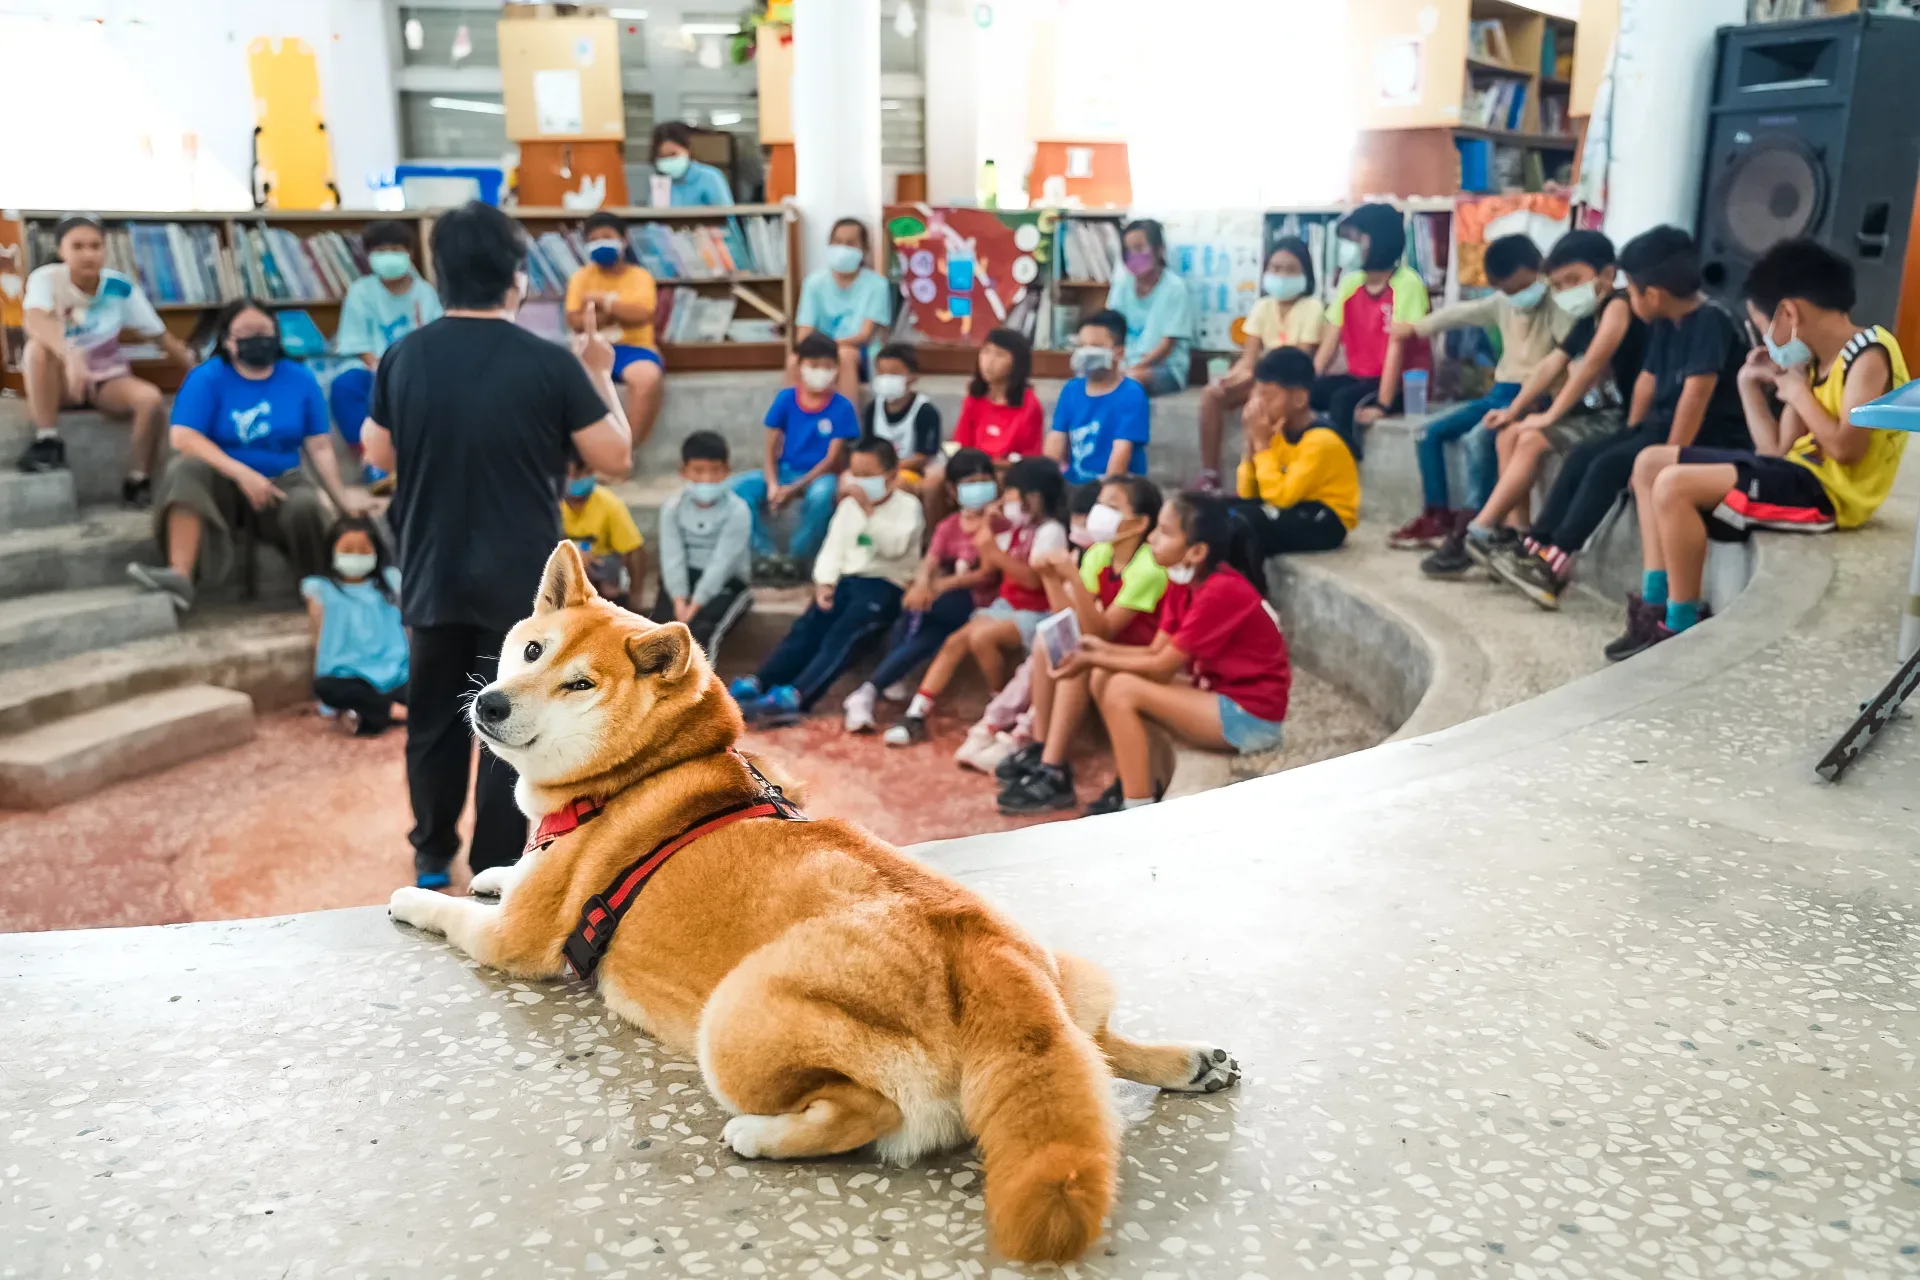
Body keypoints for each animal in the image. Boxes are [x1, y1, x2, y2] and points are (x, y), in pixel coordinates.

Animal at [389, 537, 1236, 1258]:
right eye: (532, 650)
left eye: (579, 684)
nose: (491, 703)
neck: (647, 772)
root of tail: (985, 958)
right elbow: (509, 872)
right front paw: (493, 871)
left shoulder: (516, 942)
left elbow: (461, 914)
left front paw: (415, 896)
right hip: (1067, 978)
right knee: (1097, 1047)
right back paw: (1190, 1062)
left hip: (733, 1020)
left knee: (874, 1114)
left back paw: (760, 1137)